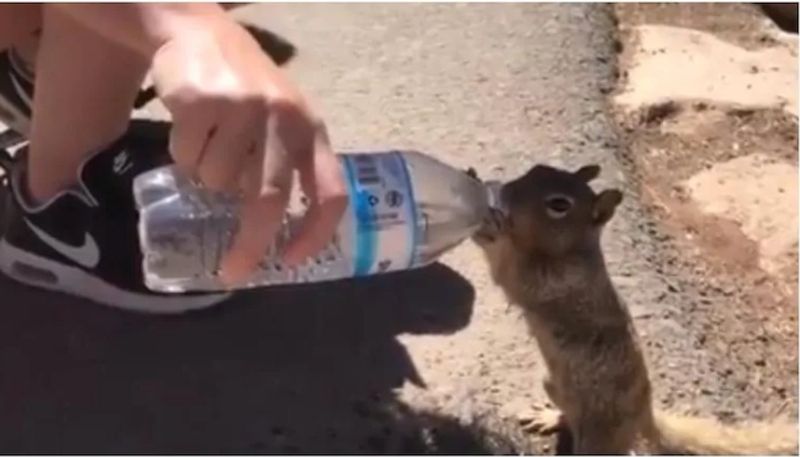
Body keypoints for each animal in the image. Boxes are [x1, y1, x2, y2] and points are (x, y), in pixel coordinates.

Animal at [466, 163, 796, 452]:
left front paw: (488, 225)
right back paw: (550, 417)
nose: (505, 193)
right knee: (569, 417)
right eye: (536, 169)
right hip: (553, 384)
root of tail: (644, 411)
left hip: (602, 431)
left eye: (559, 205)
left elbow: (510, 273)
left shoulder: (552, 281)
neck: (573, 249)